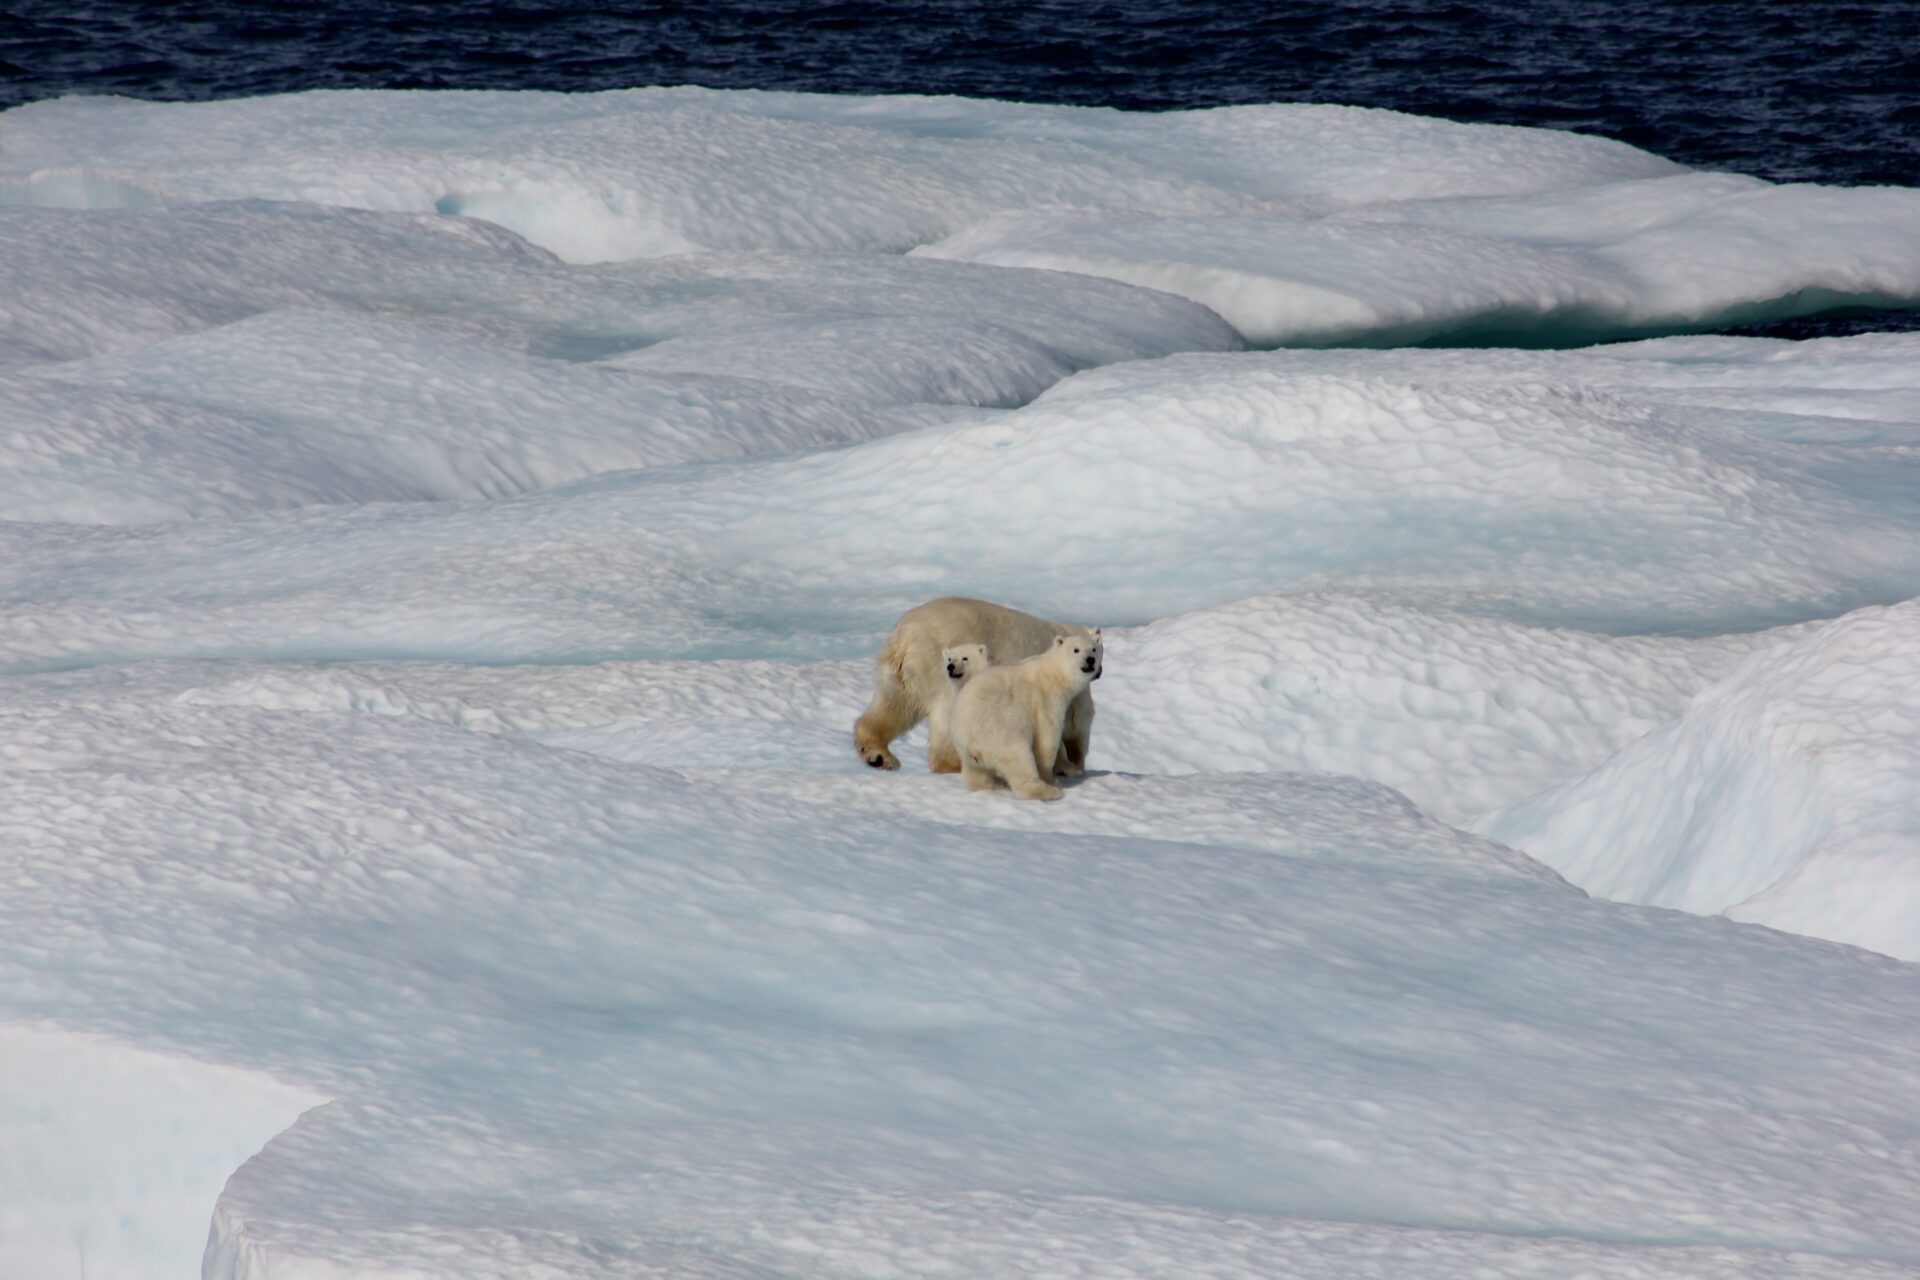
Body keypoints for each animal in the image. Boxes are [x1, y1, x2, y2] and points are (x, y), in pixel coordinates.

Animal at [852, 598, 1098, 775]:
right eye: (1096, 650)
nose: (1097, 668)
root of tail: (907, 636)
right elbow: (1074, 724)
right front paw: (1071, 766)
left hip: (901, 673)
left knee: (894, 706)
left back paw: (879, 756)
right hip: (943, 668)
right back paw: (956, 763)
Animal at [948, 629, 1105, 802]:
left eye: (1094, 649)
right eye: (1076, 650)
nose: (1090, 660)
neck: (1054, 673)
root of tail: (971, 739)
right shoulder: (1045, 699)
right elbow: (1047, 739)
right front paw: (1051, 779)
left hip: (967, 751)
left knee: (977, 775)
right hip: (999, 730)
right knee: (1018, 758)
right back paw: (1048, 791)